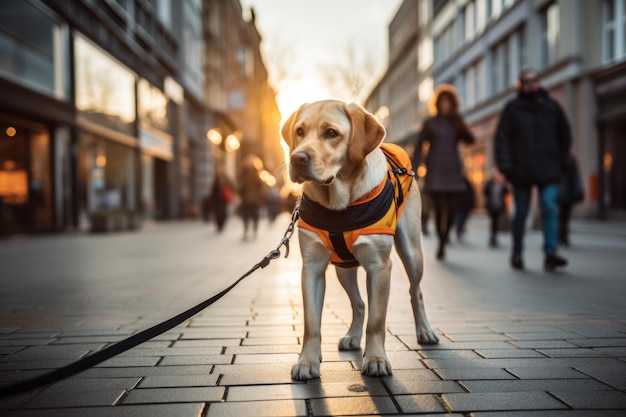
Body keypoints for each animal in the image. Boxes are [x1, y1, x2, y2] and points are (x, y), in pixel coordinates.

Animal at [282, 98, 438, 380]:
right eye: (299, 131)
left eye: (331, 133)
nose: (297, 157)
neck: (338, 204)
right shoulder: (312, 267)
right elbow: (312, 322)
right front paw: (307, 361)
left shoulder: (379, 266)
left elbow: (377, 321)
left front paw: (375, 359)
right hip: (343, 269)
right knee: (359, 303)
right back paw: (353, 337)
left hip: (412, 251)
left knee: (415, 291)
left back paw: (425, 331)